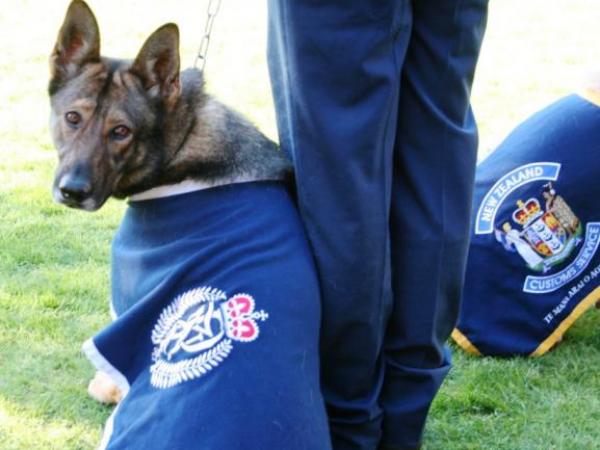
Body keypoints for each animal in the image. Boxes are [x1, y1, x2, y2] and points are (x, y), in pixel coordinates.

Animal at [49, 1, 330, 448]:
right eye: (73, 118)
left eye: (121, 132)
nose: (72, 191)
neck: (181, 142)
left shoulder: (124, 299)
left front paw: (104, 385)